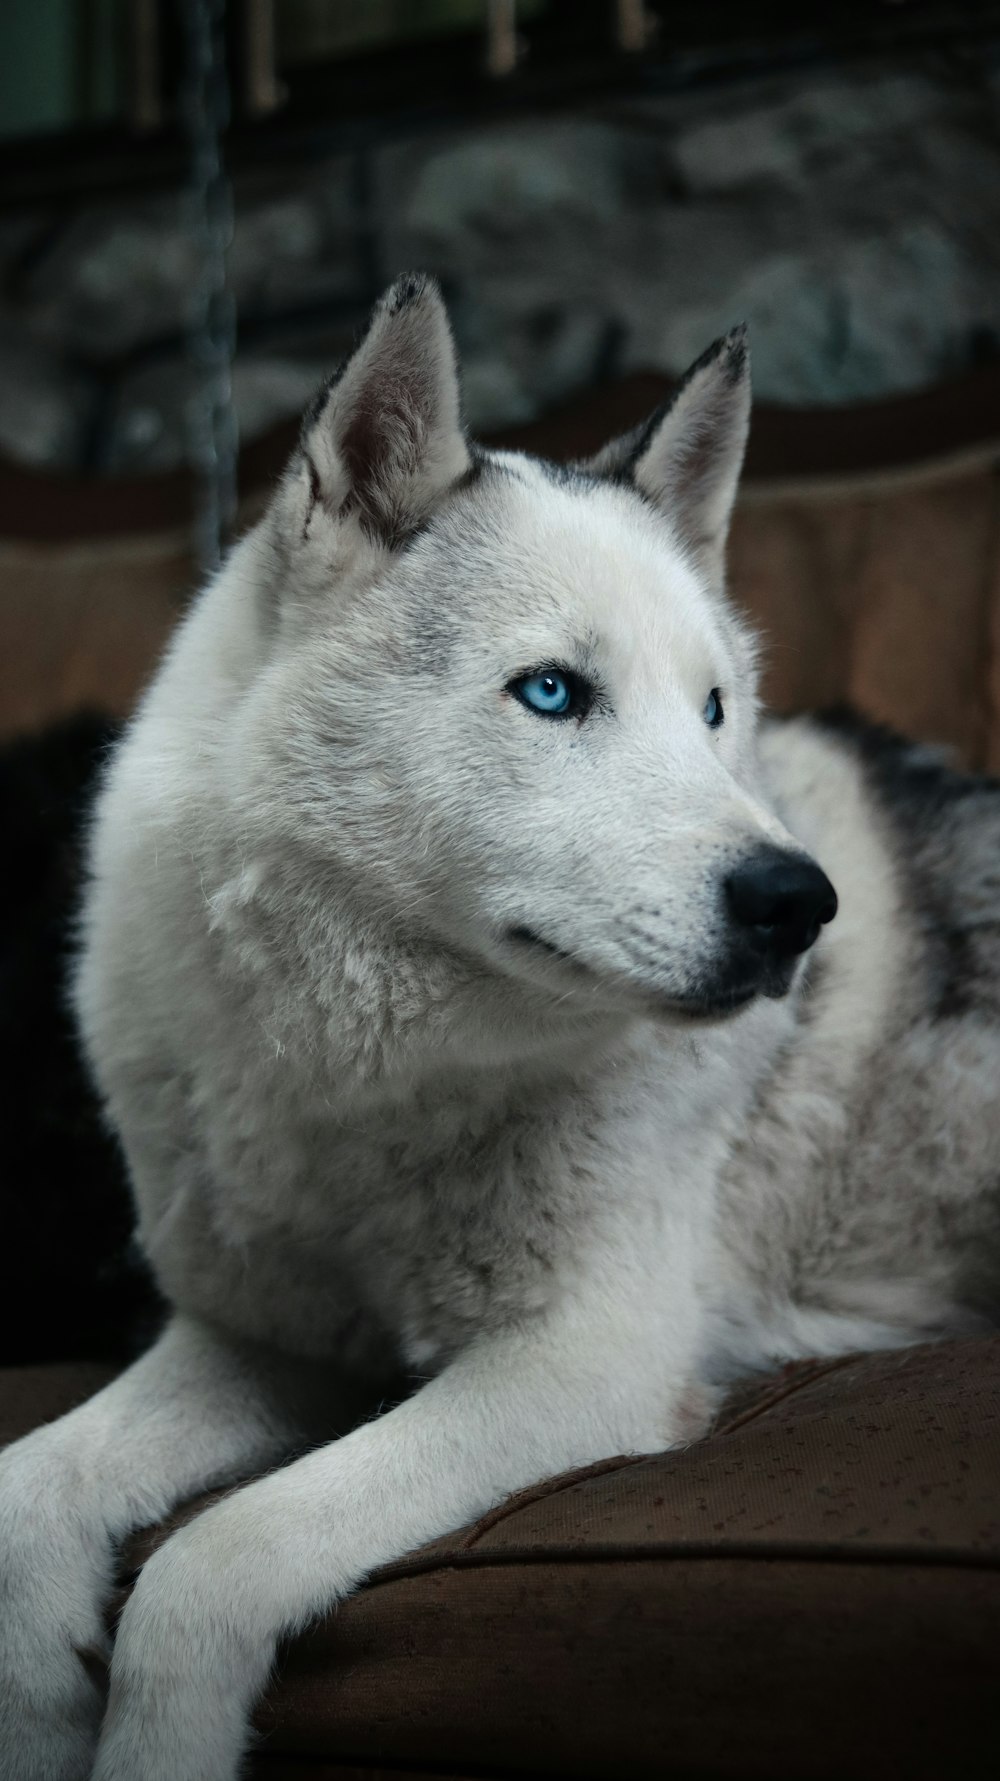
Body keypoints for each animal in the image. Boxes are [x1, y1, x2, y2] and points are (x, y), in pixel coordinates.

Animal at [1, 270, 998, 1773]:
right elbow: (24, 1495)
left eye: (714, 711)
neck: (366, 1085)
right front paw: (43, 1704)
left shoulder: (573, 1364)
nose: (796, 904)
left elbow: (205, 1561)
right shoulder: (261, 1342)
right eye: (551, 692)